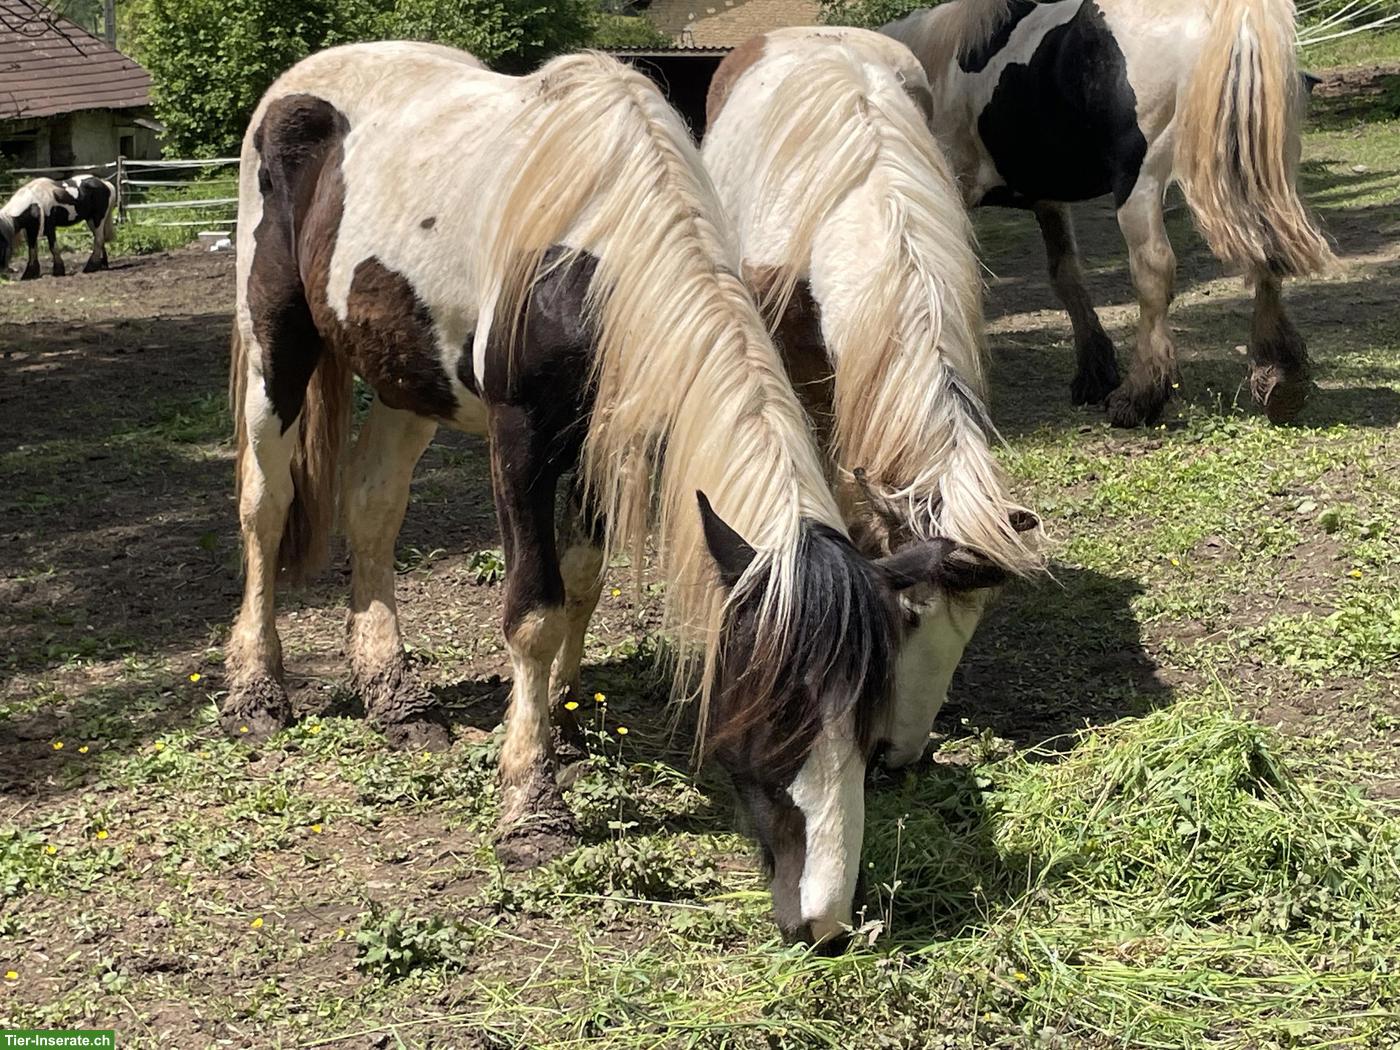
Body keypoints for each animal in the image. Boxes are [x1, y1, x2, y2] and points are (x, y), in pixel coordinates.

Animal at [228, 41, 1008, 946]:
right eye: (777, 712)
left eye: (864, 710)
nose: (824, 923)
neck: (596, 253)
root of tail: (297, 84)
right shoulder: (523, 440)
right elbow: (533, 610)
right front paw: (530, 805)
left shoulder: (615, 437)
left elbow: (580, 580)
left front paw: (561, 726)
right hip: (277, 341)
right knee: (264, 508)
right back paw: (255, 693)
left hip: (403, 379)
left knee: (374, 509)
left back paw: (396, 698)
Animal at [882, 0, 1335, 428]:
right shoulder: (1048, 198)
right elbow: (1066, 277)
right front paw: (1094, 373)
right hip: (1257, 167)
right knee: (1266, 248)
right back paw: (1280, 378)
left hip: (1140, 182)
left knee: (1154, 272)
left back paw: (1140, 396)